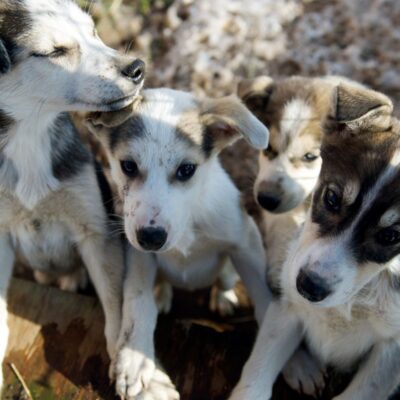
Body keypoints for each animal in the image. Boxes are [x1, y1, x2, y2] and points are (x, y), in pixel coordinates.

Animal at [0, 0, 145, 394]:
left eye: (93, 31)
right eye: (55, 52)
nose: (137, 68)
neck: (29, 135)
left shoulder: (95, 231)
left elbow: (113, 301)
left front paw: (124, 358)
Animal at [87, 88, 272, 400]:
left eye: (187, 169)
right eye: (128, 166)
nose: (151, 237)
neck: (188, 223)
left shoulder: (244, 241)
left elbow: (266, 300)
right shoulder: (138, 252)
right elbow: (138, 300)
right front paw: (134, 357)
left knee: (224, 279)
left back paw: (222, 298)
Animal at [230, 82, 400, 400]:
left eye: (391, 235)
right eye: (331, 198)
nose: (309, 286)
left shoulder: (390, 350)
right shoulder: (287, 307)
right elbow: (255, 379)